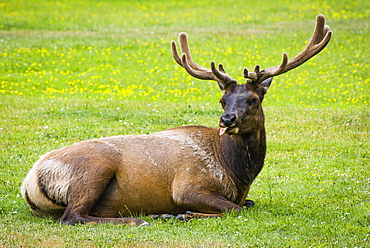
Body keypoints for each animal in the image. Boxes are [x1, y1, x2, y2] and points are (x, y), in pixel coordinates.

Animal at [21, 14, 332, 226]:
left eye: (253, 100)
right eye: (222, 100)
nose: (227, 120)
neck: (237, 174)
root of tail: (29, 182)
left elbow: (248, 205)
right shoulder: (187, 185)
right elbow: (234, 209)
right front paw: (183, 214)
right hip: (95, 168)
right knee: (73, 216)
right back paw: (140, 219)